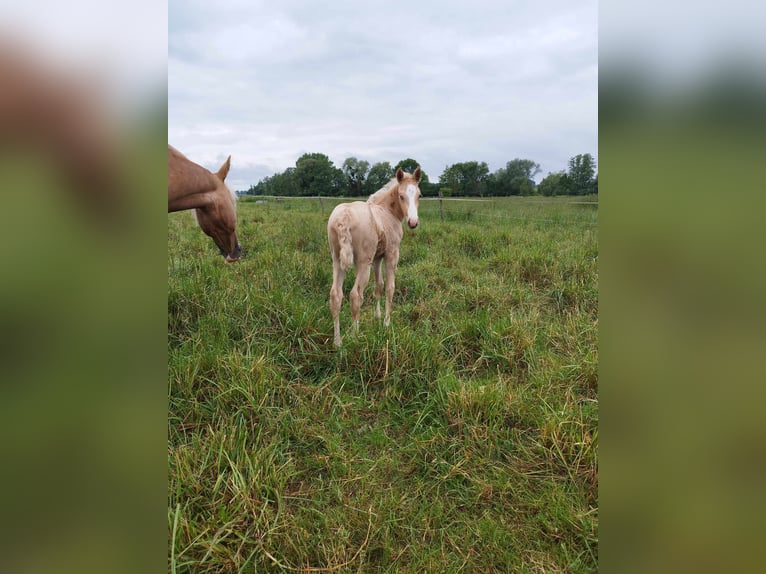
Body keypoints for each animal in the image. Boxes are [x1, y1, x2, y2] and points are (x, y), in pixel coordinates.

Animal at [326, 166, 424, 346]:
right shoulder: (392, 254)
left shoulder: (377, 258)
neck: (387, 211)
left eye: (419, 195)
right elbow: (390, 287)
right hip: (363, 264)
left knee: (336, 295)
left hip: (336, 260)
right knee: (355, 296)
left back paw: (337, 341)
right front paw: (386, 322)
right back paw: (355, 335)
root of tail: (344, 217)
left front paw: (377, 317)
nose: (413, 222)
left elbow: (379, 285)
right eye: (401, 195)